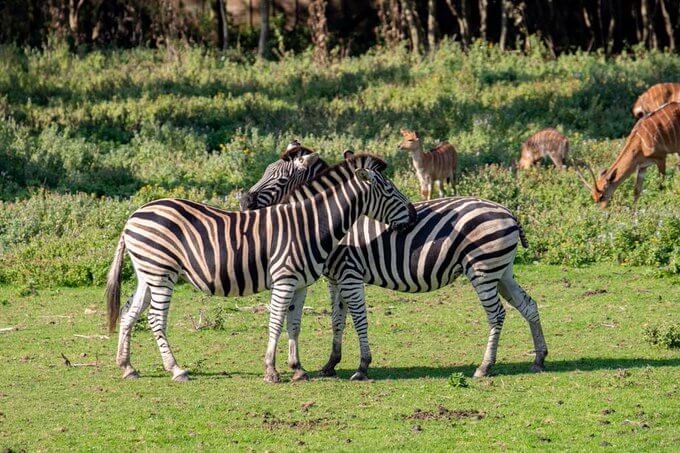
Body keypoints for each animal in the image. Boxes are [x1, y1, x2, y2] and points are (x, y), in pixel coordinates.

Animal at [107, 153, 418, 382]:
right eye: (389, 189)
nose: (414, 215)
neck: (309, 224)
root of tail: (133, 216)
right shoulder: (284, 279)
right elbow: (276, 321)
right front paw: (271, 370)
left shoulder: (301, 284)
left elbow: (294, 324)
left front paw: (298, 369)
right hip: (162, 273)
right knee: (155, 318)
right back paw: (176, 369)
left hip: (147, 274)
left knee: (129, 311)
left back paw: (127, 367)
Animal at [239, 144, 548, 378]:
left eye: (279, 180)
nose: (244, 202)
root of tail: (508, 213)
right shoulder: (335, 278)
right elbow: (337, 320)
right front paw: (330, 364)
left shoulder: (349, 272)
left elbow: (357, 318)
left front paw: (361, 367)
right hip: (502, 271)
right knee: (528, 305)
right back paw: (539, 359)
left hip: (482, 270)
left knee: (497, 315)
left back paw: (484, 367)